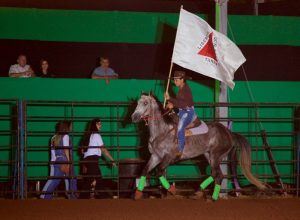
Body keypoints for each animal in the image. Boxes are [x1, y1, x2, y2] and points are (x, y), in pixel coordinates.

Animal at [131, 93, 264, 200]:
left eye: (145, 103)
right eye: (137, 103)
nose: (134, 117)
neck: (162, 131)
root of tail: (229, 133)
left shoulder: (168, 157)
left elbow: (159, 172)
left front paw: (172, 190)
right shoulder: (155, 156)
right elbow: (144, 171)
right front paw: (138, 194)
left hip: (216, 155)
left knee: (218, 175)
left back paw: (211, 197)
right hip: (208, 155)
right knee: (215, 174)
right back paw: (199, 191)